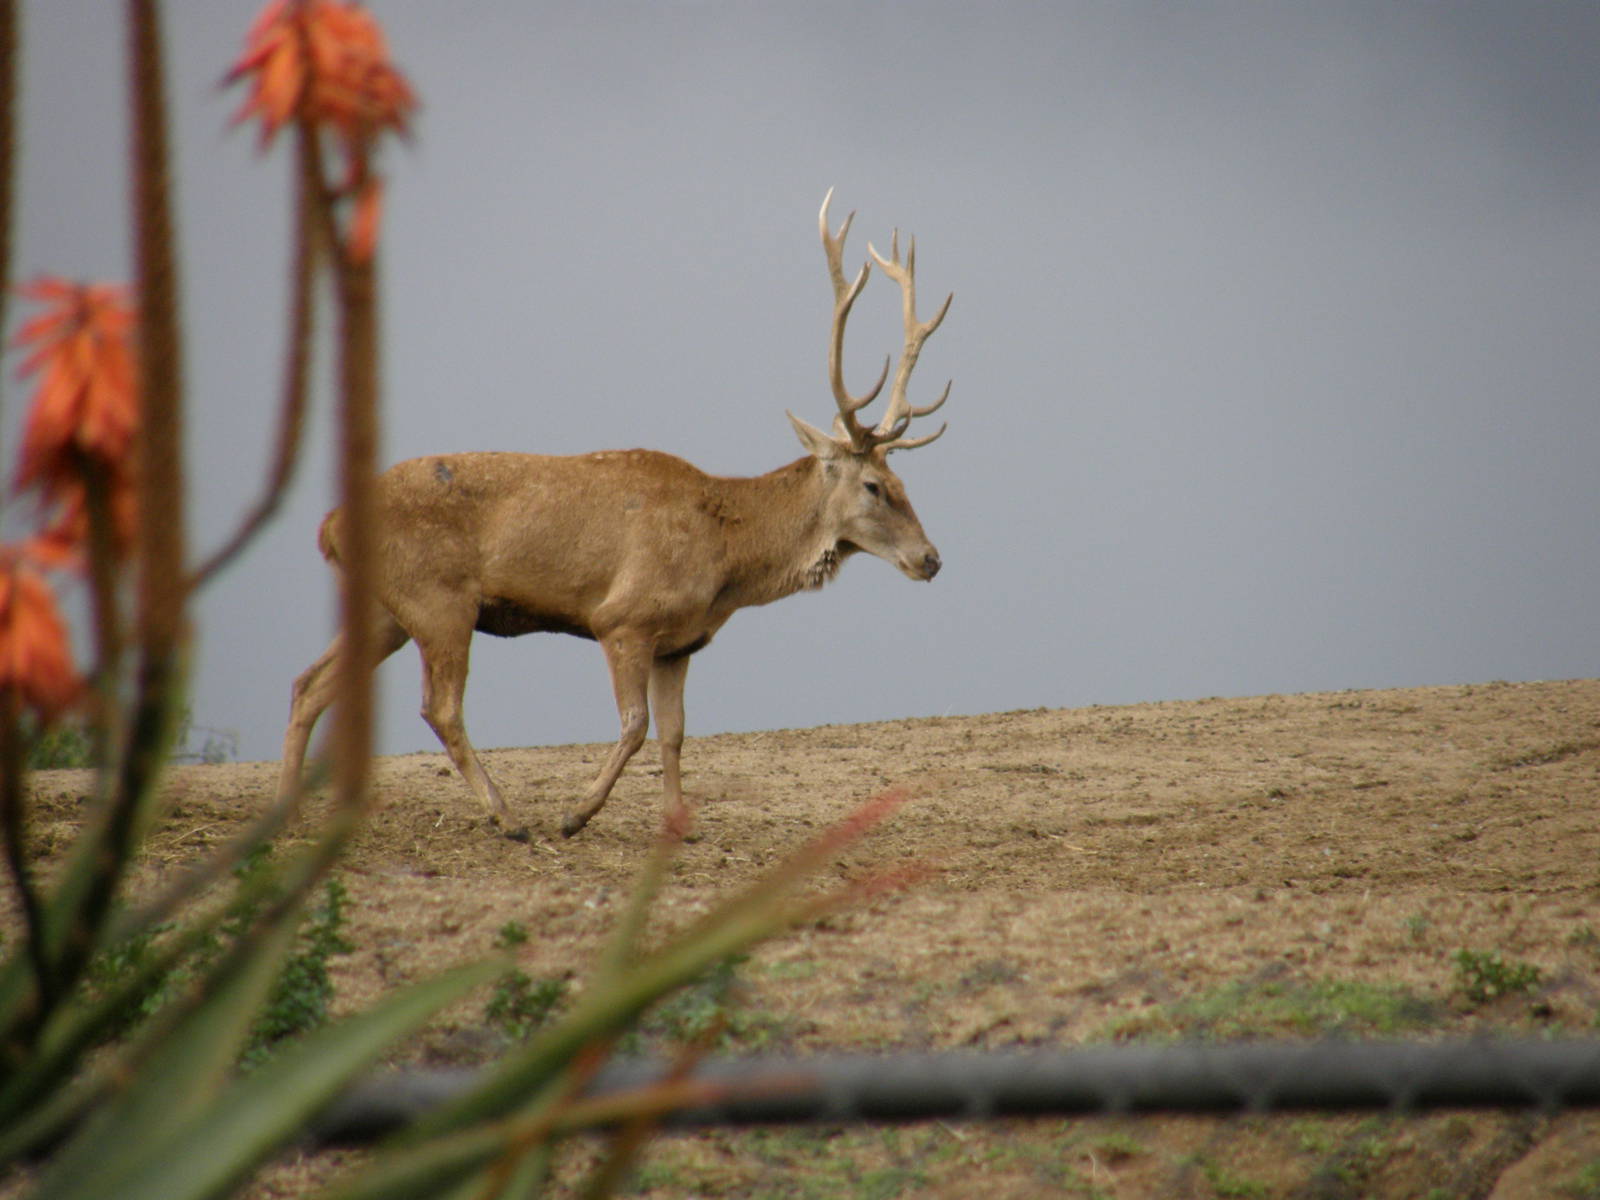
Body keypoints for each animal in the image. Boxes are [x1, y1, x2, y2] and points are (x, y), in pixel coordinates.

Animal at [277, 190, 953, 838]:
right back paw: (508, 817)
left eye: (903, 481)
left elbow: (675, 732)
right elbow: (634, 724)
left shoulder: (680, 643)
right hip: (438, 599)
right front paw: (577, 814)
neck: (726, 564)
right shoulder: (623, 619)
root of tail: (328, 525)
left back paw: (285, 809)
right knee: (438, 706)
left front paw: (680, 826)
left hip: (386, 608)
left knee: (309, 683)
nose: (931, 559)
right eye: (875, 486)